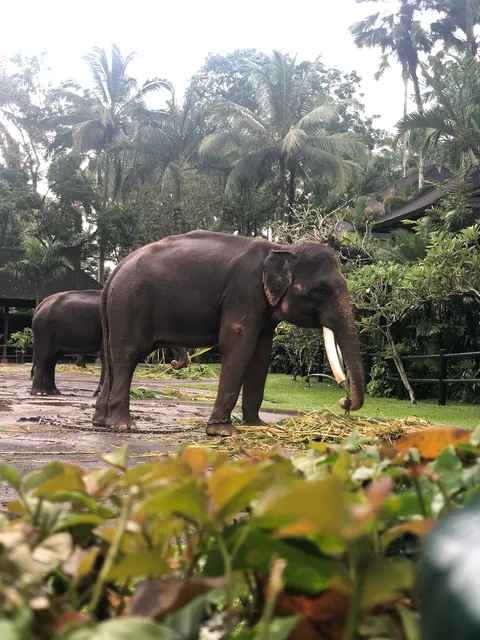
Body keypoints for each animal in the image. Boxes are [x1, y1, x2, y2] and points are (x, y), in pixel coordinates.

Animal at [31, 289, 188, 397]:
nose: (173, 363)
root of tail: (40, 305)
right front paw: (99, 393)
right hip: (43, 330)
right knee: (45, 357)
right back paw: (39, 393)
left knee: (52, 359)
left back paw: (53, 392)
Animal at [93, 230, 364, 435]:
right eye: (322, 291)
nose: (344, 402)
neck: (280, 248)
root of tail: (115, 271)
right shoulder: (243, 292)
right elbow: (238, 345)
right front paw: (222, 432)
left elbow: (261, 353)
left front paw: (256, 425)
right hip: (129, 304)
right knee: (127, 355)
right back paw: (123, 426)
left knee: (111, 356)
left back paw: (101, 421)